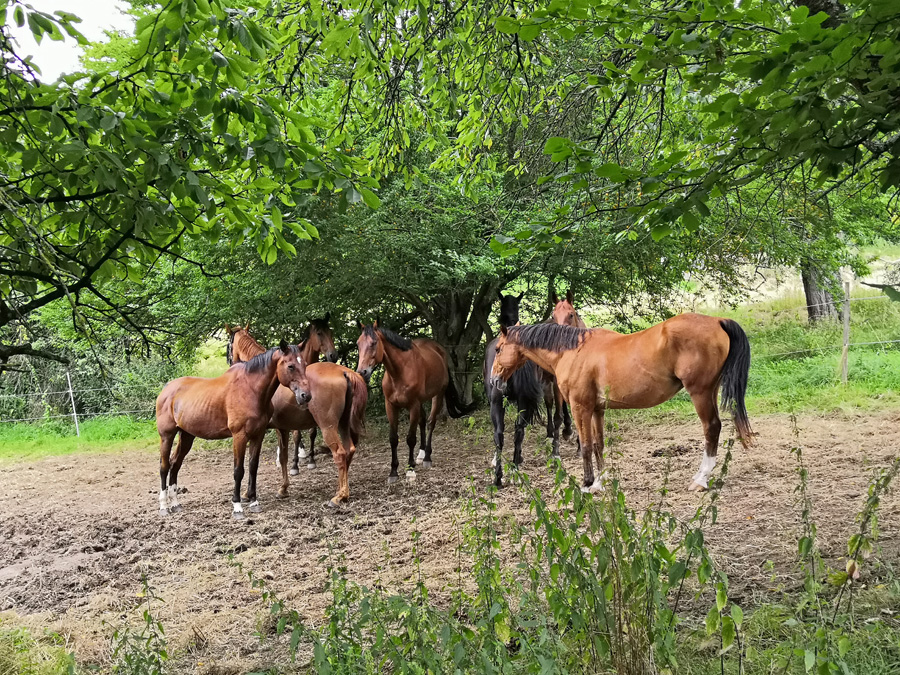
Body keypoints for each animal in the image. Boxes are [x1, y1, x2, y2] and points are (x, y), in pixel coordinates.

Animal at [155, 340, 310, 520]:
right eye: (291, 366)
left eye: (304, 364)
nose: (306, 395)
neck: (250, 389)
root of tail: (167, 389)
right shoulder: (239, 436)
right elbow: (238, 470)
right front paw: (237, 507)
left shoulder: (258, 435)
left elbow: (253, 467)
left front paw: (254, 502)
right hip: (167, 436)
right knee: (164, 467)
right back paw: (164, 506)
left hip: (187, 436)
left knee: (175, 464)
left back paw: (175, 504)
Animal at [229, 328, 370, 508]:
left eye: (229, 345)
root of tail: (344, 372)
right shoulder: (282, 428)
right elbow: (283, 457)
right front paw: (283, 488)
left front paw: (248, 494)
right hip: (343, 424)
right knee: (349, 450)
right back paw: (342, 489)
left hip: (328, 427)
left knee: (339, 453)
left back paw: (339, 496)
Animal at [356, 320, 478, 484]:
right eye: (358, 344)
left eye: (374, 342)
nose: (362, 372)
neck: (399, 372)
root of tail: (440, 350)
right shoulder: (391, 406)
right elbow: (393, 439)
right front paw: (393, 472)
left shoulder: (413, 405)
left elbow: (410, 438)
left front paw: (410, 470)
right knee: (422, 421)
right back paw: (420, 455)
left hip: (437, 396)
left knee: (431, 422)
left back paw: (427, 457)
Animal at [488, 314, 756, 494]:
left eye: (499, 348)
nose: (494, 381)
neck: (573, 352)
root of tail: (718, 320)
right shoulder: (597, 409)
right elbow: (598, 445)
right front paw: (600, 482)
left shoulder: (580, 407)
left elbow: (586, 446)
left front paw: (587, 484)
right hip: (710, 390)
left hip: (699, 392)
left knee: (711, 428)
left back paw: (700, 479)